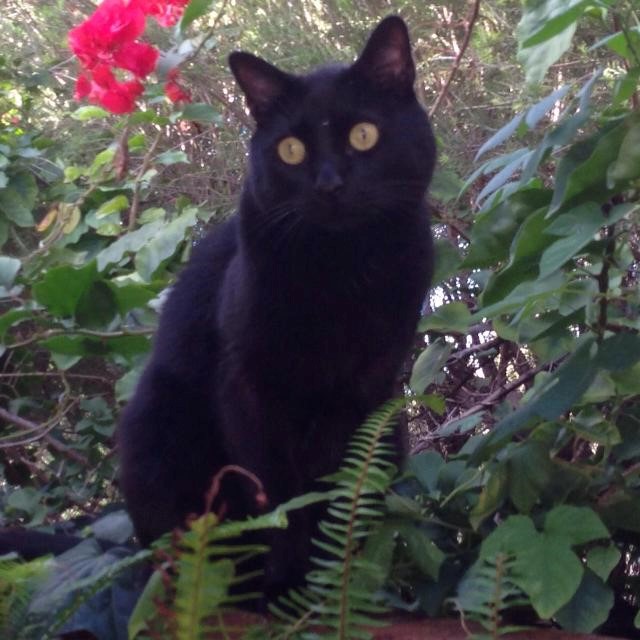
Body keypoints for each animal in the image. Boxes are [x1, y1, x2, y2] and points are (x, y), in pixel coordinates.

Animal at [118, 15, 436, 598]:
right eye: (291, 150)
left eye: (363, 135)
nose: (330, 183)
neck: (342, 275)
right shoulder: (247, 386)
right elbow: (279, 496)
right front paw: (289, 584)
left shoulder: (367, 386)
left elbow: (338, 488)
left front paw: (333, 578)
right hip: (155, 422)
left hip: (392, 428)